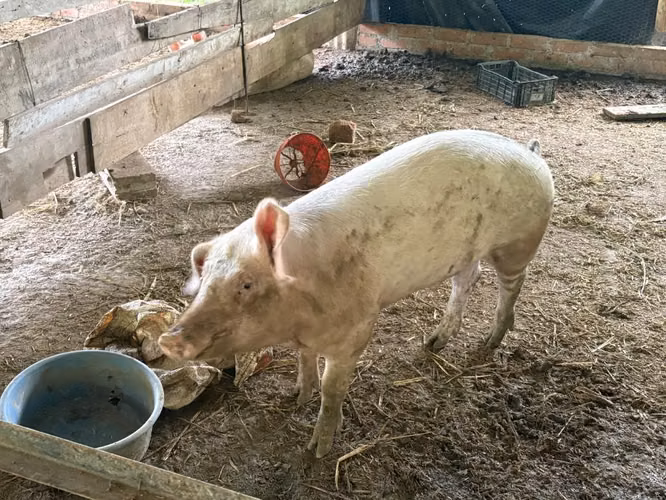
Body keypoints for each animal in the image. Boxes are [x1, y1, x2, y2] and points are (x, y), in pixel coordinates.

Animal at [158, 129, 555, 458]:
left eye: (246, 284)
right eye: (205, 280)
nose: (169, 339)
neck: (300, 313)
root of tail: (530, 152)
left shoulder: (357, 330)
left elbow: (332, 389)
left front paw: (317, 451)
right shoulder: (305, 339)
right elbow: (304, 363)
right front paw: (295, 398)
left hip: (519, 244)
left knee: (511, 285)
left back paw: (491, 341)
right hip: (466, 253)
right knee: (467, 279)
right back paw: (433, 344)